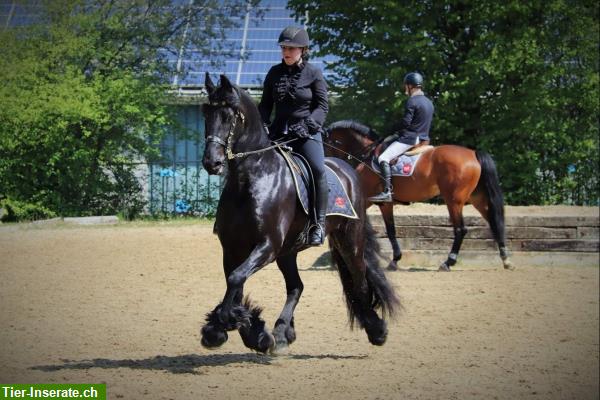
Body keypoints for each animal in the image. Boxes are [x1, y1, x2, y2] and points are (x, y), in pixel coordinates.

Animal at [199, 72, 400, 354]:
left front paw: (222, 325)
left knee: (359, 281)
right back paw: (282, 332)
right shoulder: (232, 247)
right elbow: (234, 282)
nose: (212, 162)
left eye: (228, 116)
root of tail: (348, 170)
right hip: (288, 251)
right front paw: (249, 331)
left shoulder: (267, 245)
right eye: (206, 113)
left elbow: (237, 278)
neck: (252, 178)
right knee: (296, 286)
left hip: (348, 240)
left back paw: (376, 329)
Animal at [326, 121, 512, 272]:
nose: (330, 163)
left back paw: (448, 262)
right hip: (477, 199)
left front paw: (393, 260)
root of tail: (473, 154)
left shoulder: (377, 202)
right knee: (495, 223)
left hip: (454, 201)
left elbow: (390, 231)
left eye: (328, 143)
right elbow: (388, 229)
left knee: (460, 229)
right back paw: (506, 260)